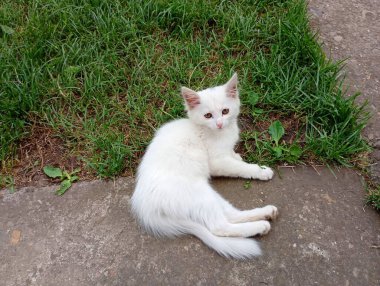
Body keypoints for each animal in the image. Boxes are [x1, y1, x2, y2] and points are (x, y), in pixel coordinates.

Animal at [132, 73, 278, 260]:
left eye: (225, 111)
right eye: (208, 115)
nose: (220, 124)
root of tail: (144, 206)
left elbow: (233, 156)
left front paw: (237, 156)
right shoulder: (217, 162)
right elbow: (242, 168)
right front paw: (260, 170)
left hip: (209, 196)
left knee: (231, 215)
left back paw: (266, 213)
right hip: (200, 195)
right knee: (219, 226)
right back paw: (260, 226)